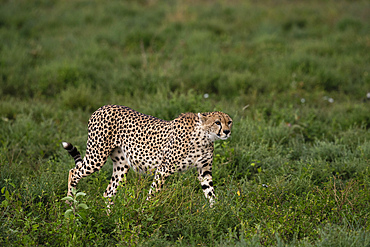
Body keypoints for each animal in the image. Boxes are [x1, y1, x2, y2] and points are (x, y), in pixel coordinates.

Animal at [62, 105, 233, 206]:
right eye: (217, 122)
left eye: (229, 122)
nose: (227, 131)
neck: (205, 137)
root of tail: (102, 107)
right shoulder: (164, 169)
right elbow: (153, 193)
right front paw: (146, 210)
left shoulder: (204, 171)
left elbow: (210, 193)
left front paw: (215, 212)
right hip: (97, 156)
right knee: (73, 172)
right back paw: (70, 202)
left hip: (121, 165)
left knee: (108, 193)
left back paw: (109, 218)